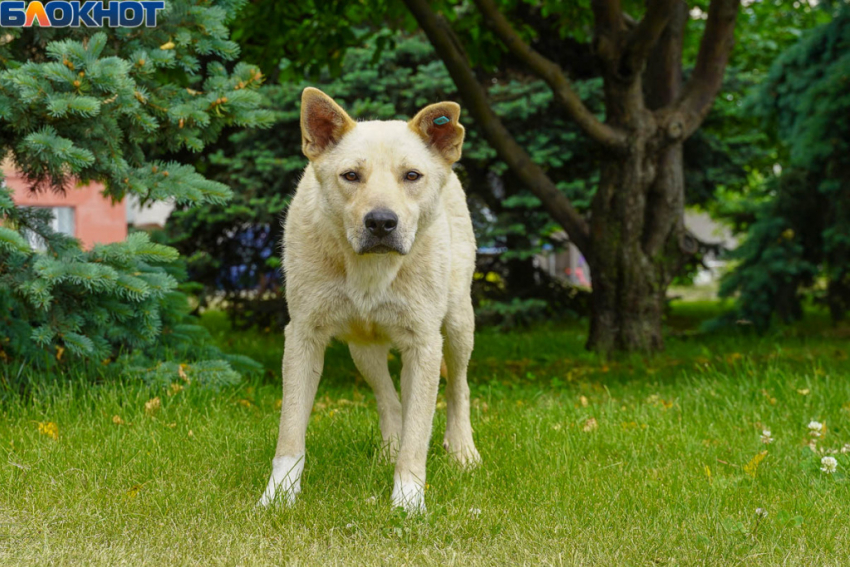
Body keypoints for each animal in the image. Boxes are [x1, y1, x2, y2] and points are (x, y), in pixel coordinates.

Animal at [255, 85, 480, 516]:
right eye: (351, 176)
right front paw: (277, 497)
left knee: (457, 387)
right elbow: (290, 431)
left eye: (412, 176)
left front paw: (407, 503)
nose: (380, 222)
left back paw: (462, 451)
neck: (370, 270)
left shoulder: (425, 343)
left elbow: (418, 435)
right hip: (363, 349)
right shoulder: (303, 336)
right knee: (390, 400)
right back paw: (389, 450)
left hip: (459, 324)